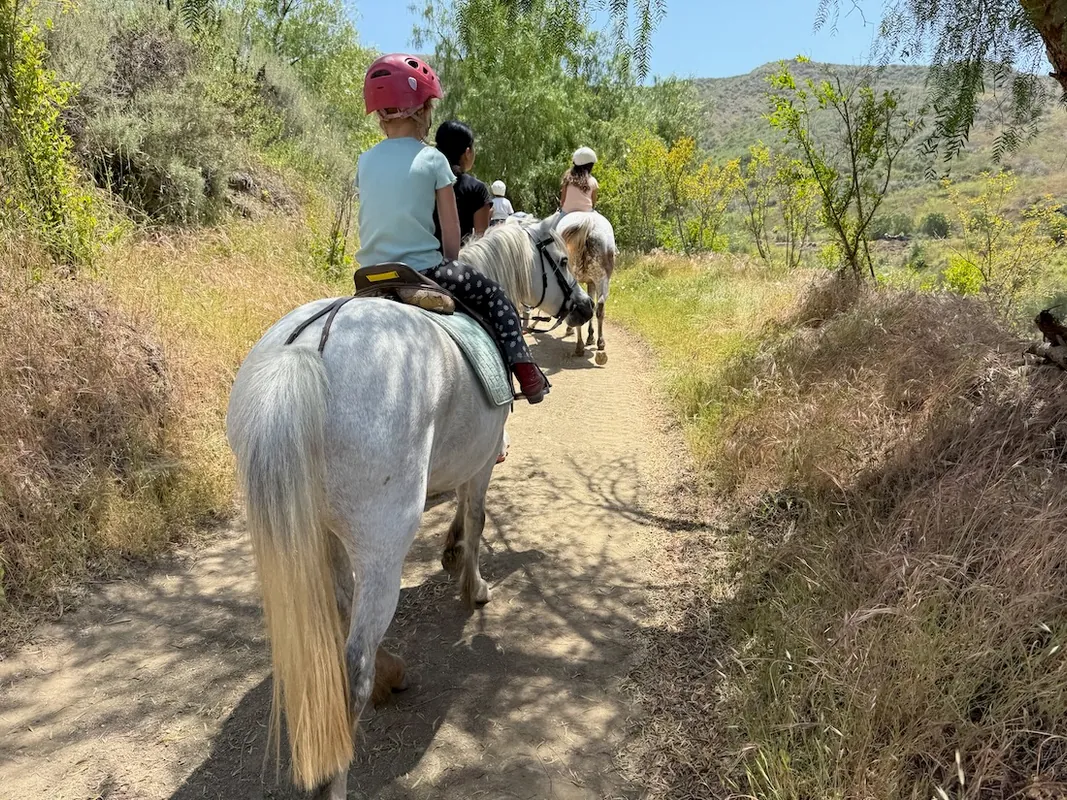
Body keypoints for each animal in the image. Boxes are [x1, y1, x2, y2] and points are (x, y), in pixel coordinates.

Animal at [225, 217, 593, 799]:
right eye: (557, 255)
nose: (583, 305)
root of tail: (309, 350)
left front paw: (451, 552)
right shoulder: (483, 457)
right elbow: (476, 514)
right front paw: (472, 584)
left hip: (319, 529)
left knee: (341, 611)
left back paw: (391, 671)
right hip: (382, 540)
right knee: (352, 664)